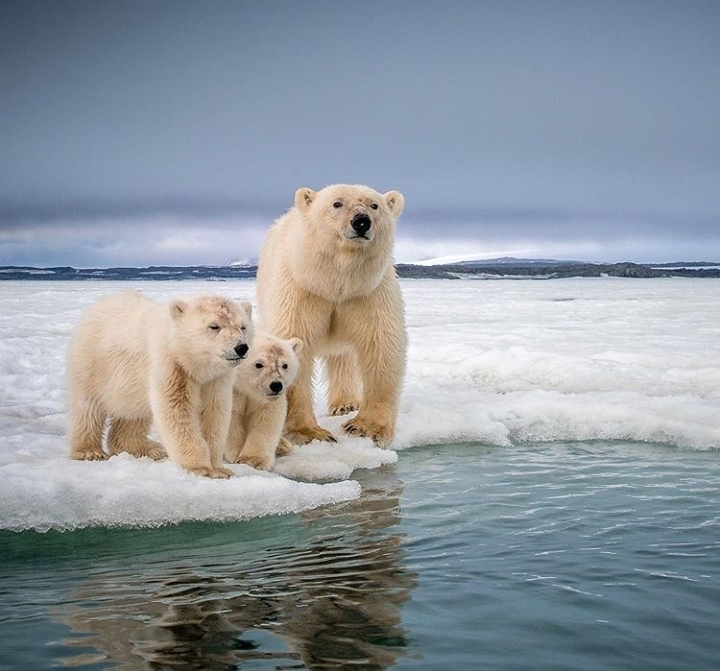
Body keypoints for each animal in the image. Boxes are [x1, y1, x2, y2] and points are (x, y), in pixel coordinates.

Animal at [66, 291, 254, 478]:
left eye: (243, 327)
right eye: (214, 326)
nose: (241, 347)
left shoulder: (215, 380)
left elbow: (214, 413)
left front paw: (219, 468)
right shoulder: (171, 365)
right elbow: (177, 411)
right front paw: (201, 468)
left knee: (134, 415)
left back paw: (148, 449)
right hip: (91, 366)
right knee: (88, 409)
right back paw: (90, 451)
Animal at [224, 332, 303, 471]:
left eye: (285, 365)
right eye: (259, 364)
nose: (276, 385)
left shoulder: (266, 400)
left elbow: (266, 419)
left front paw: (252, 460)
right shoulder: (234, 391)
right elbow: (232, 417)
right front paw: (236, 454)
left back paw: (283, 446)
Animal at [256, 183, 407, 447]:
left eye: (374, 205)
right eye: (337, 204)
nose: (361, 222)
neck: (334, 282)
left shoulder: (368, 293)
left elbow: (381, 345)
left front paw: (366, 428)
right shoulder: (300, 291)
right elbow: (294, 344)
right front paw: (308, 433)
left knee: (342, 356)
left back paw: (345, 404)